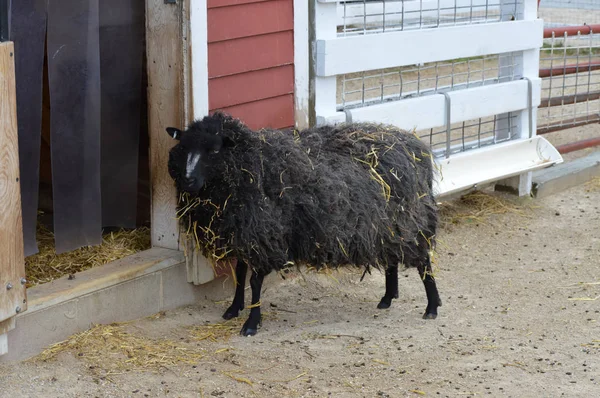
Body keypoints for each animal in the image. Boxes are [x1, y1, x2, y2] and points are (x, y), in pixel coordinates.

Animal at [168, 111, 440, 336]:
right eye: (184, 147)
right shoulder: (246, 231)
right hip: (388, 225)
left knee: (423, 261)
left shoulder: (267, 234)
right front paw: (234, 309)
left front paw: (252, 323)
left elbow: (254, 281)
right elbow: (240, 273)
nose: (188, 180)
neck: (253, 163)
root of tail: (414, 145)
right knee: (393, 257)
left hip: (409, 220)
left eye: (214, 150)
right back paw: (387, 298)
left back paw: (432, 306)